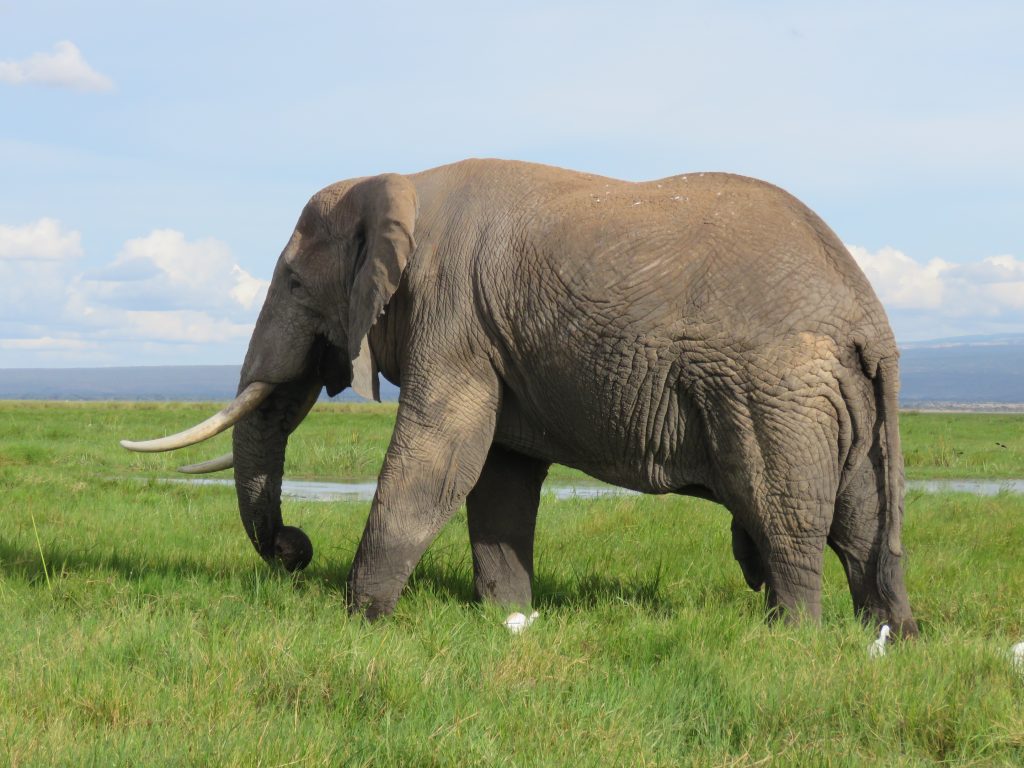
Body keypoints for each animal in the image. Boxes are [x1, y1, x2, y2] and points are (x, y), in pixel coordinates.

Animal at [121, 157, 921, 638]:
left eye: (290, 282)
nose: (295, 548)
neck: (398, 182)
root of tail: (870, 320)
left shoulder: (452, 313)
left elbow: (440, 456)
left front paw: (359, 621)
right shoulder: (489, 335)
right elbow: (498, 476)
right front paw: (507, 618)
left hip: (773, 394)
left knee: (785, 517)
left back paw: (793, 640)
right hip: (838, 399)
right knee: (859, 521)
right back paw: (892, 637)